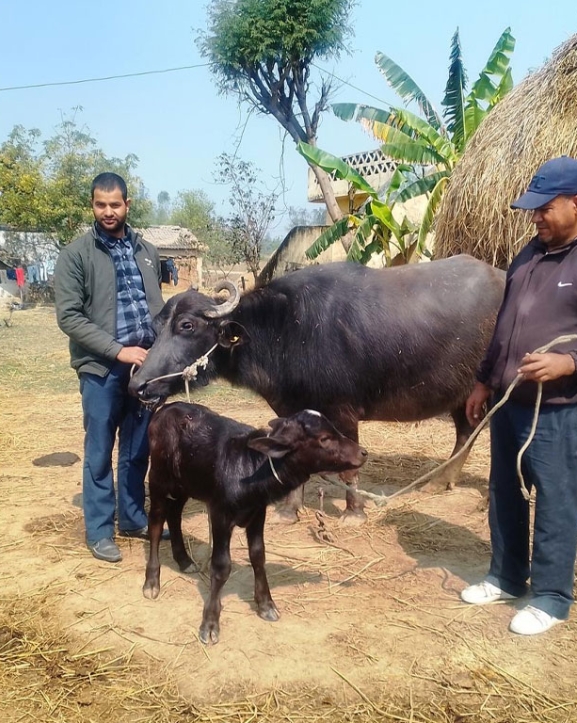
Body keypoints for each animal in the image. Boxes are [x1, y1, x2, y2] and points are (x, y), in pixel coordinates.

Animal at [130, 256, 504, 520]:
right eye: (157, 326)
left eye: (187, 325)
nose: (138, 384)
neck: (288, 327)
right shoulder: (292, 410)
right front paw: (288, 510)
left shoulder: (344, 412)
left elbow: (352, 466)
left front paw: (354, 513)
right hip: (461, 394)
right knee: (466, 431)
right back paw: (440, 481)